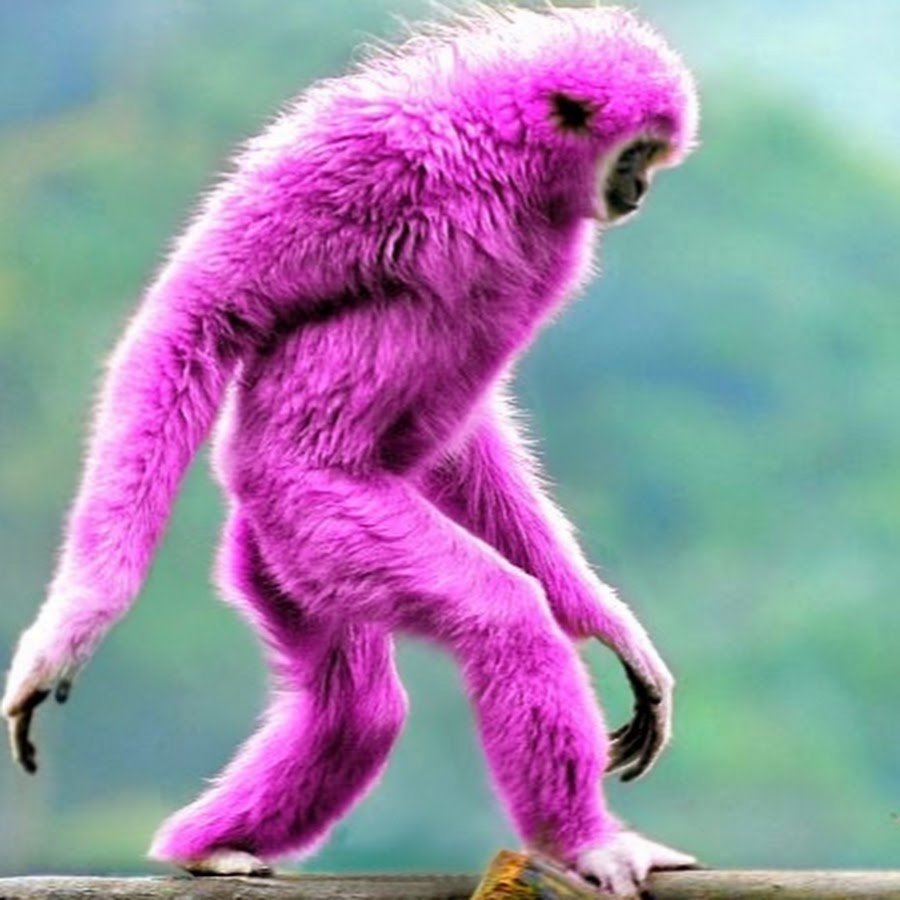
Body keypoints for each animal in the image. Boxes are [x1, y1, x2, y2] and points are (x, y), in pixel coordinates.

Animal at [2, 4, 699, 895]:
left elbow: (465, 440)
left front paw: (607, 622)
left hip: (282, 559)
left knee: (355, 709)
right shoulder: (367, 146)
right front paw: (81, 617)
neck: (503, 172)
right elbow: (195, 315)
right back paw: (582, 841)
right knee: (501, 622)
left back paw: (208, 843)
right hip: (319, 511)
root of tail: (259, 516)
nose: (637, 188)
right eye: (636, 153)